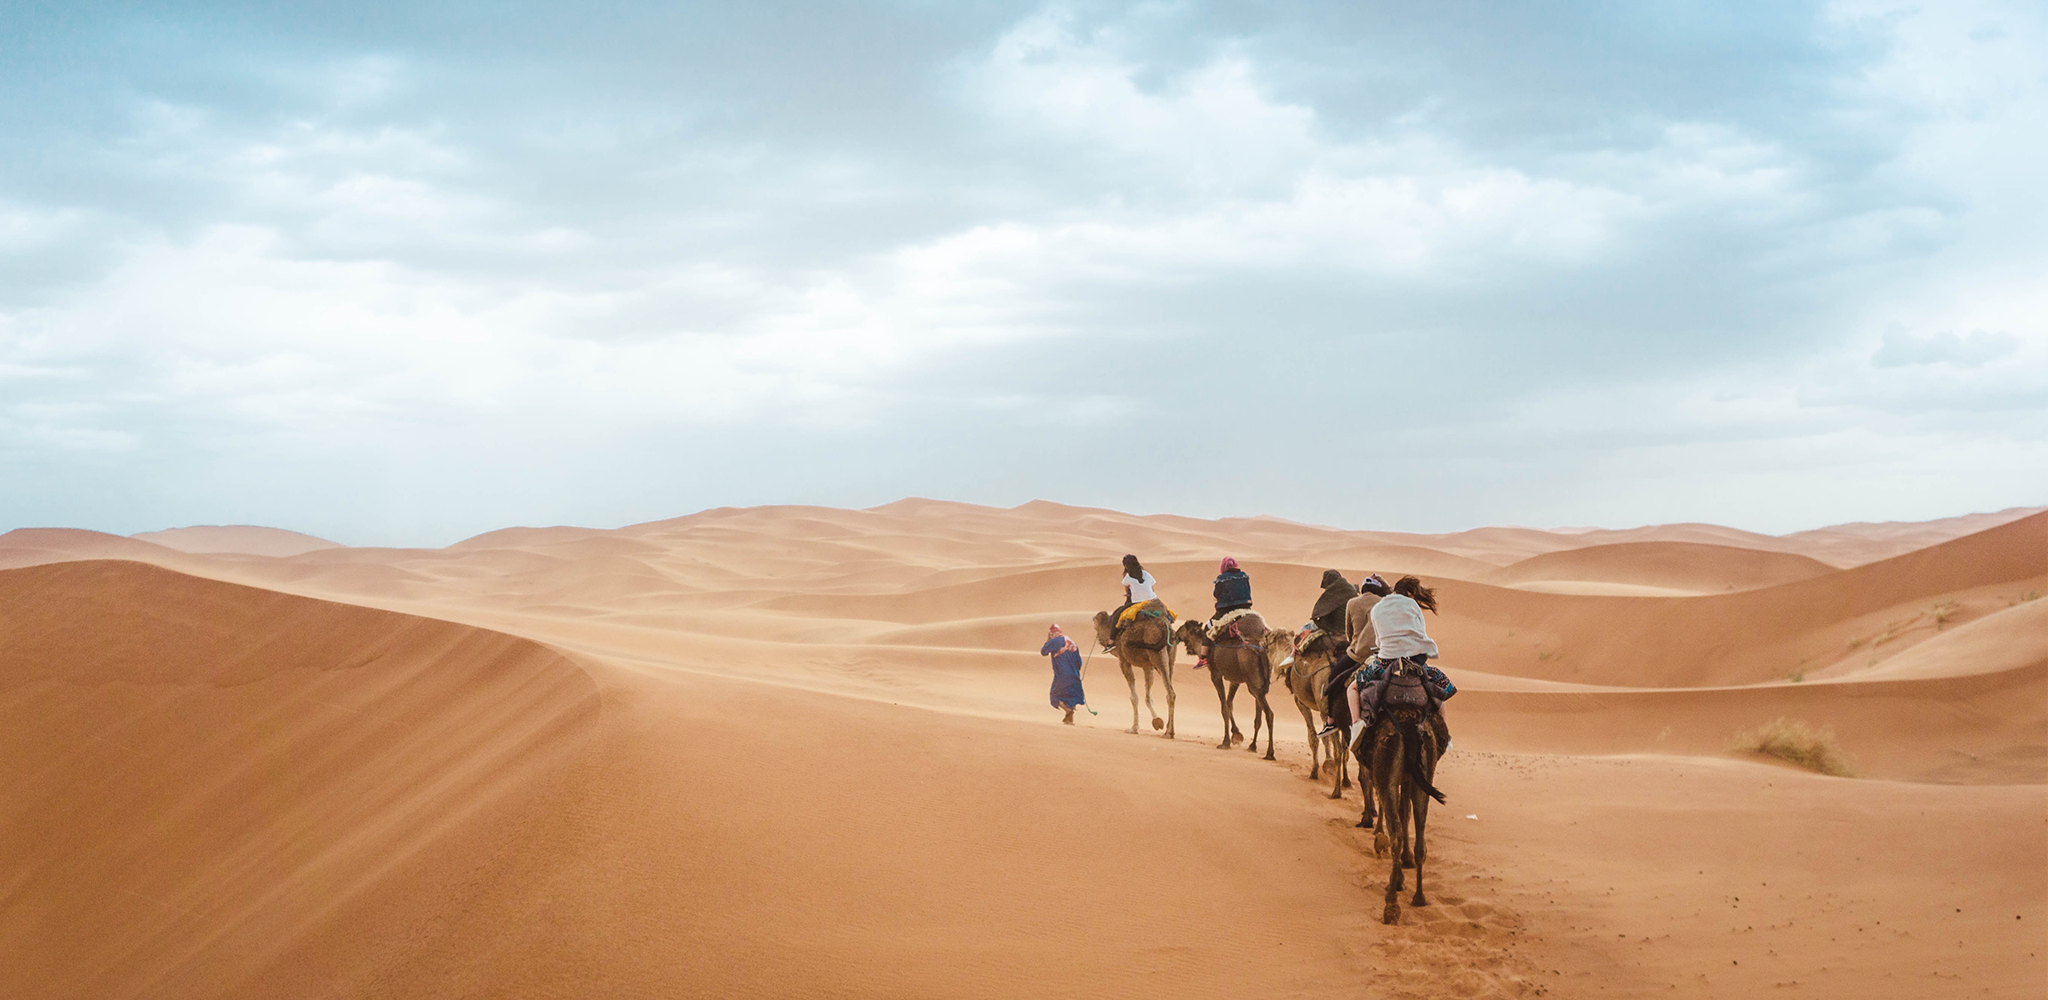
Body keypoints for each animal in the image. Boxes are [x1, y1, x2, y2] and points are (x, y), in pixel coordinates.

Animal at [1097, 602, 1179, 741]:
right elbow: (1148, 696)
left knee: (1170, 693)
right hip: (1170, 656)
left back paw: (1169, 733)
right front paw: (1157, 721)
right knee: (1171, 690)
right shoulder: (1147, 666)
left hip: (1157, 652)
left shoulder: (1123, 660)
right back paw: (1168, 731)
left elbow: (1134, 697)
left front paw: (1134, 728)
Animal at [1179, 618, 1269, 758]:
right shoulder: (1234, 680)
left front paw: (1226, 742)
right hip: (1257, 683)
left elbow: (1224, 707)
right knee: (1259, 715)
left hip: (1252, 682)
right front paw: (1237, 735)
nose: (1175, 633)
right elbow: (1229, 703)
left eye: (1183, 628)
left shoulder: (1215, 674)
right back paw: (1253, 746)